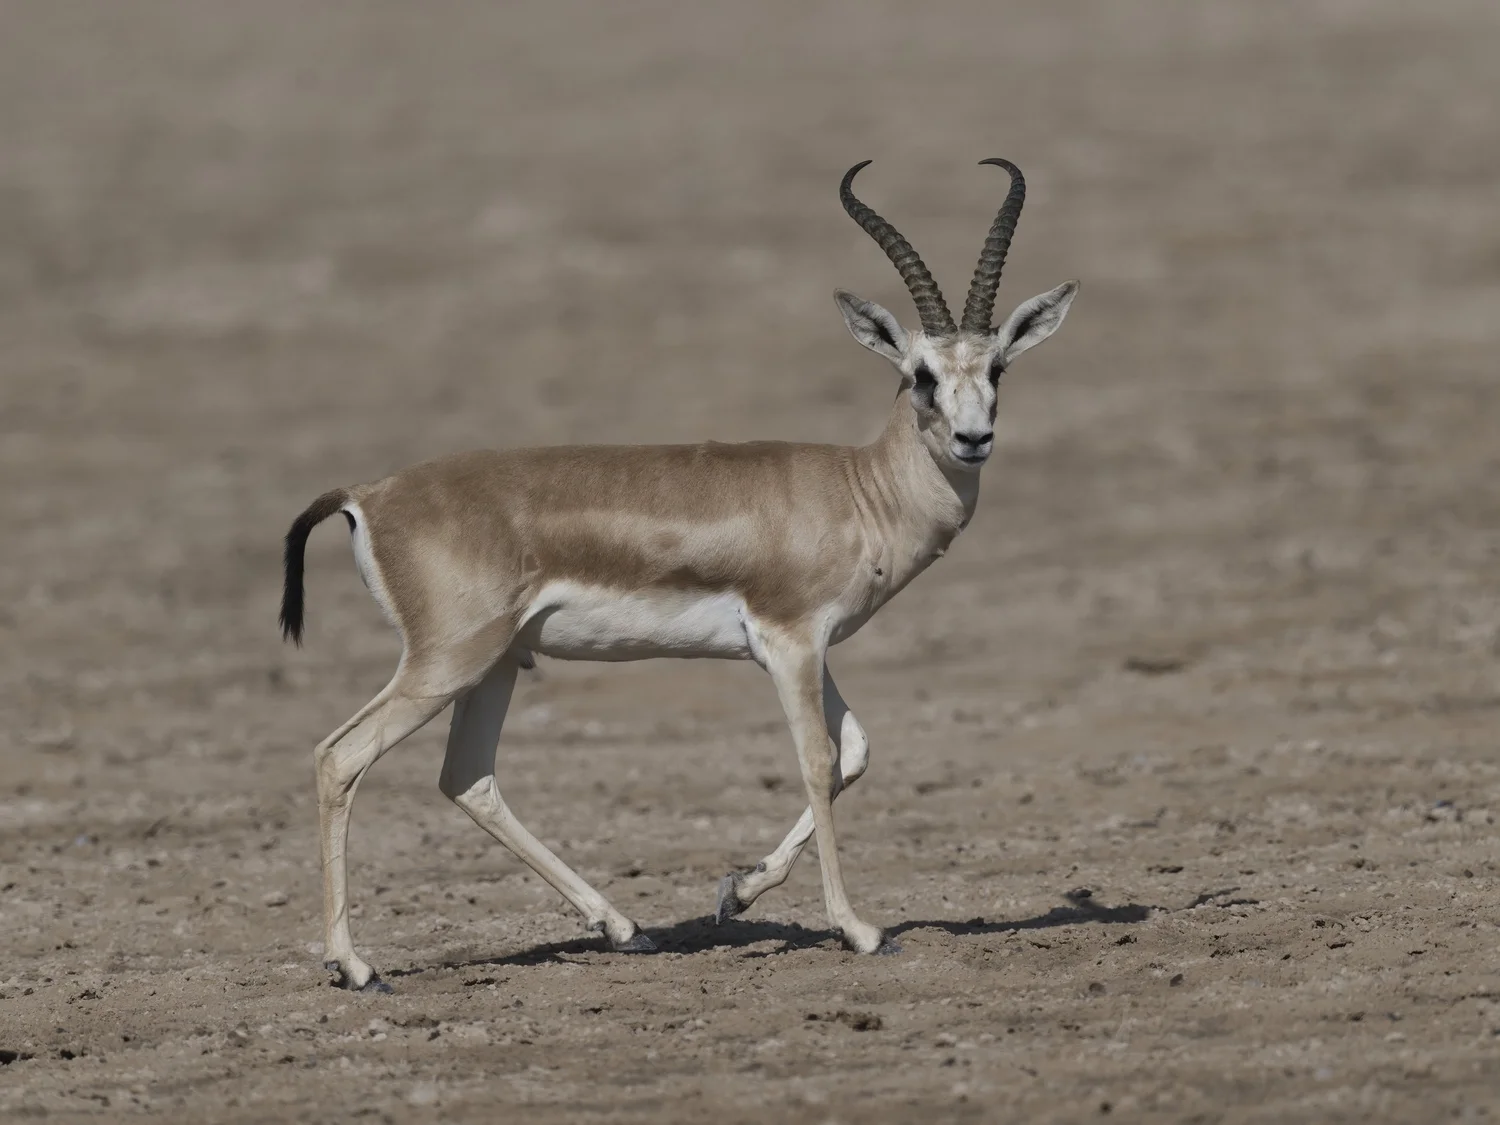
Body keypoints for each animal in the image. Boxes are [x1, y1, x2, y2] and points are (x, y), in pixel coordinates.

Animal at [280, 158, 1077, 991]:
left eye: (997, 367)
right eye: (923, 374)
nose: (973, 438)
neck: (858, 487)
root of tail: (368, 494)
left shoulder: (805, 645)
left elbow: (854, 750)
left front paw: (738, 890)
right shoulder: (790, 641)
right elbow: (817, 759)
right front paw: (859, 929)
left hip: (493, 664)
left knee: (467, 776)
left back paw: (625, 928)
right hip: (445, 662)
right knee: (340, 757)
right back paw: (356, 965)